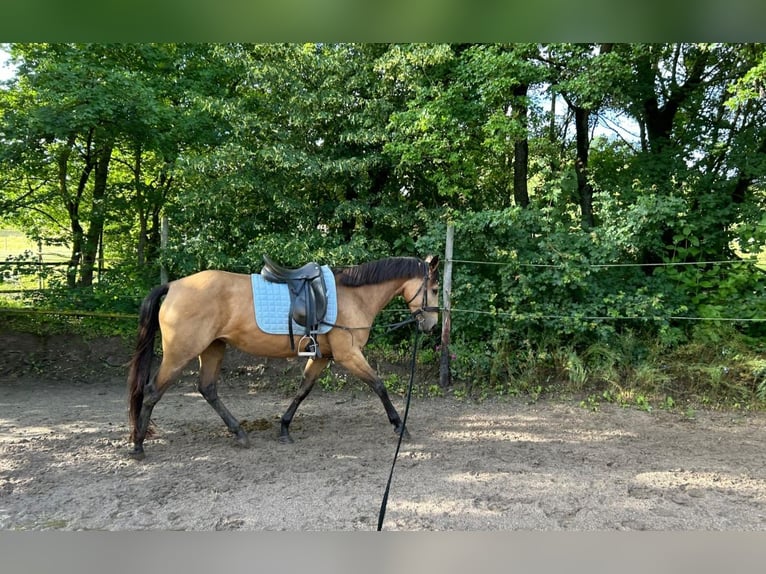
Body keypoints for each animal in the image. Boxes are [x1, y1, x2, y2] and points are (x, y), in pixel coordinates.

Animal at [125, 254, 438, 462]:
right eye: (434, 289)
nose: (432, 325)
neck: (354, 297)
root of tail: (174, 286)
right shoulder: (348, 355)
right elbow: (379, 385)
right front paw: (399, 426)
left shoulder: (322, 357)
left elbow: (302, 390)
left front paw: (284, 428)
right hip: (181, 353)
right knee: (152, 391)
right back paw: (139, 446)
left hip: (213, 348)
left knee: (208, 389)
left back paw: (239, 433)